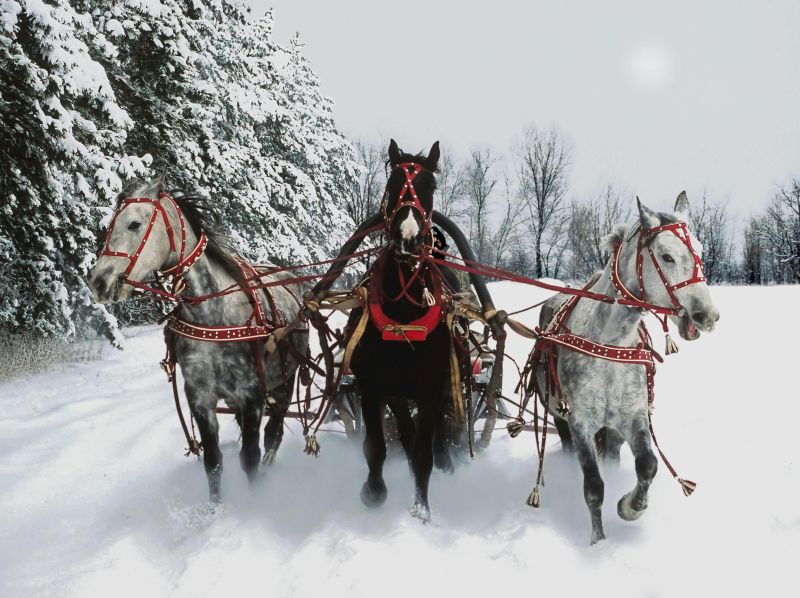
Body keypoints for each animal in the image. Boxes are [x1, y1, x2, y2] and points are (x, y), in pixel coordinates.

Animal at [89, 177, 308, 502]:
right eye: (110, 225)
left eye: (134, 224)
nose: (98, 281)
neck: (213, 314)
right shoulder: (200, 396)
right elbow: (213, 461)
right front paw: (216, 507)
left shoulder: (252, 394)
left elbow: (250, 457)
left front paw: (255, 501)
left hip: (286, 380)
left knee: (274, 433)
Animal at [532, 192, 720, 544]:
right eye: (666, 256)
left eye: (700, 251)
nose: (708, 315)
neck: (609, 343)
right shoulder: (580, 423)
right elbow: (593, 487)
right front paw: (598, 541)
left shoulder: (633, 417)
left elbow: (648, 464)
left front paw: (630, 507)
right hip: (558, 417)